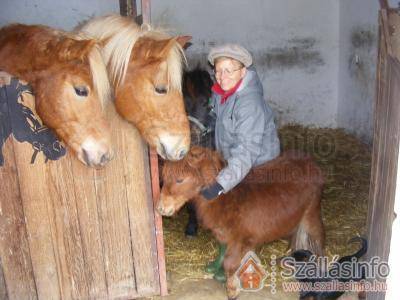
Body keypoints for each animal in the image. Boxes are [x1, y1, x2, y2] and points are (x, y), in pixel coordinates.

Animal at [157, 146, 324, 298]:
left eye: (180, 180)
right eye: (164, 177)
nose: (161, 208)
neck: (227, 198)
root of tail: (310, 161)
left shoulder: (239, 240)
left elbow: (230, 264)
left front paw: (233, 290)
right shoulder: (230, 237)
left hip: (311, 215)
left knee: (318, 238)